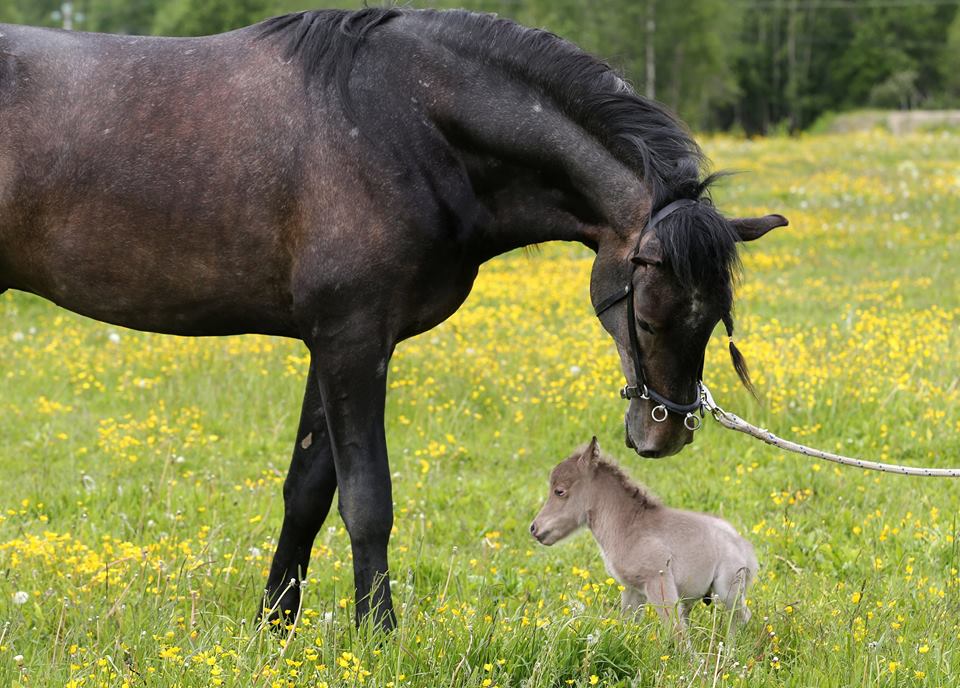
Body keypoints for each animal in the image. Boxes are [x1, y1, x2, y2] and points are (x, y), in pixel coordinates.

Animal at [0, 7, 787, 631]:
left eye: (716, 320)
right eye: (651, 317)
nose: (666, 433)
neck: (401, 122)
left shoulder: (333, 345)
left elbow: (307, 494)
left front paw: (276, 627)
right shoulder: (352, 343)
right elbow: (367, 500)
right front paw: (378, 633)